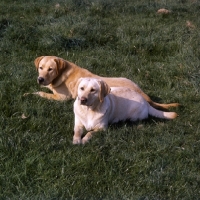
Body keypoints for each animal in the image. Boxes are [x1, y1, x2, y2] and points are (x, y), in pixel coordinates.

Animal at [32, 55, 179, 110]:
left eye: (50, 69)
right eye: (41, 68)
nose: (40, 79)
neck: (61, 73)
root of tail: (145, 95)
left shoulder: (62, 98)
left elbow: (41, 93)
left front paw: (31, 94)